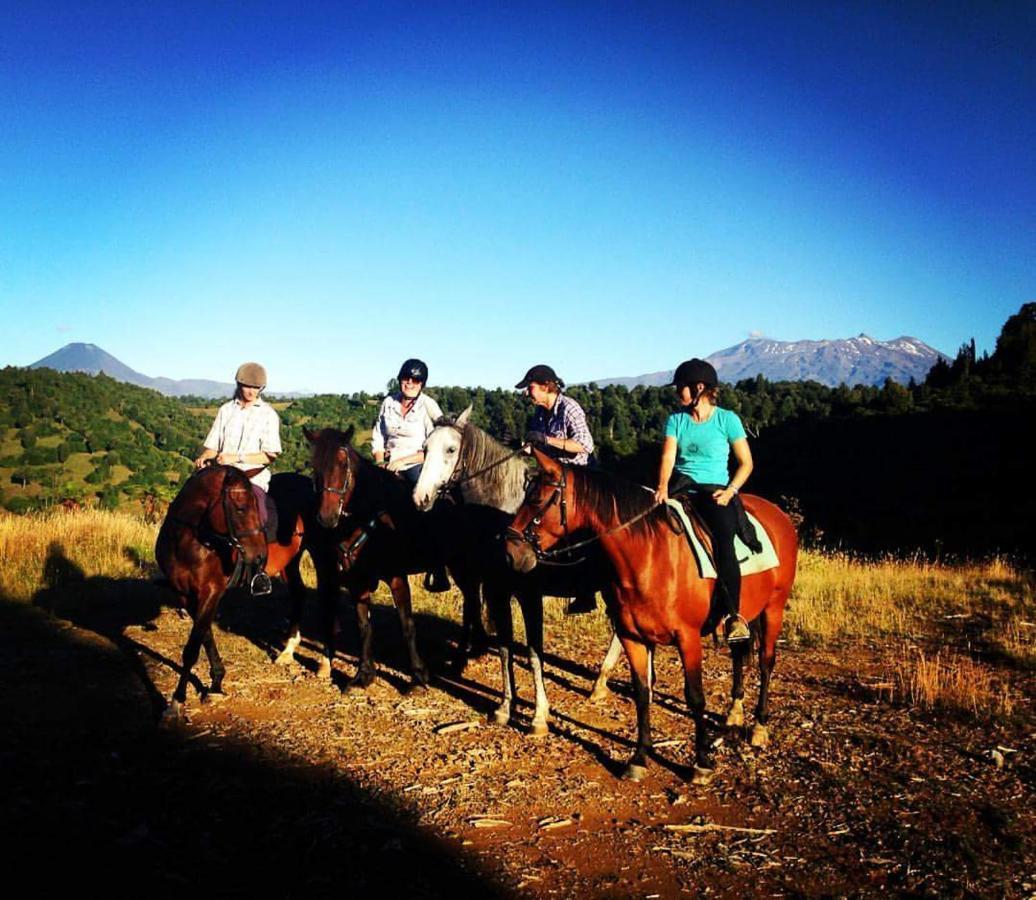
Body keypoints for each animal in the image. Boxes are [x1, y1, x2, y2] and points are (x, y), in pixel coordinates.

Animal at [153, 463, 306, 724]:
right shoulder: (185, 594)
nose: (259, 556)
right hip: (290, 564)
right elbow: (204, 636)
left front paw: (177, 701)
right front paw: (216, 683)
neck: (189, 540)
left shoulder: (211, 591)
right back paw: (287, 650)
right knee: (298, 594)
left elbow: (192, 647)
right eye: (241, 509)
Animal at [505, 447, 795, 778]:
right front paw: (639, 758)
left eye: (537, 499)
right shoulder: (633, 637)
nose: (510, 552)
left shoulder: (688, 638)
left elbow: (695, 696)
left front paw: (702, 762)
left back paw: (759, 727)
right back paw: (734, 714)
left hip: (774, 608)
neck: (650, 555)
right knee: (739, 653)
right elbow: (642, 693)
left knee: (765, 663)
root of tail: (777, 514)